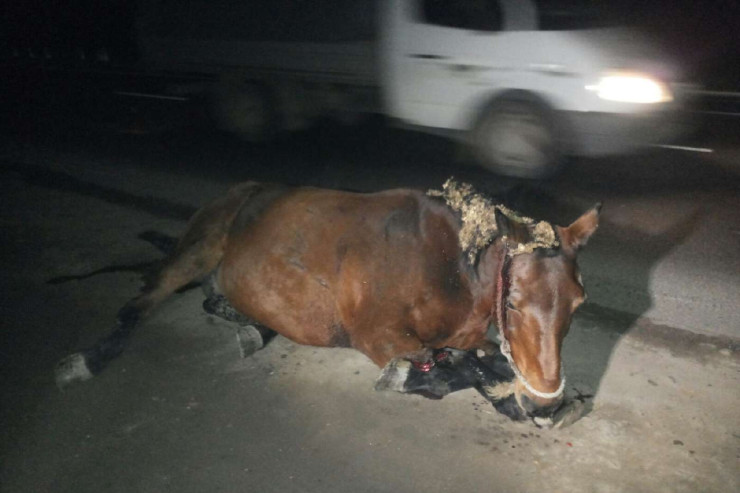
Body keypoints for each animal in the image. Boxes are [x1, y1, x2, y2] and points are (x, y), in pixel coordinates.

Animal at [56, 179, 600, 424]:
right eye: (515, 304)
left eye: (577, 304)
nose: (545, 402)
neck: (451, 268)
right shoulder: (379, 336)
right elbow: (441, 370)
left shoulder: (471, 336)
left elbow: (484, 362)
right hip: (194, 253)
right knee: (139, 304)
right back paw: (88, 359)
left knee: (214, 302)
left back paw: (251, 327)